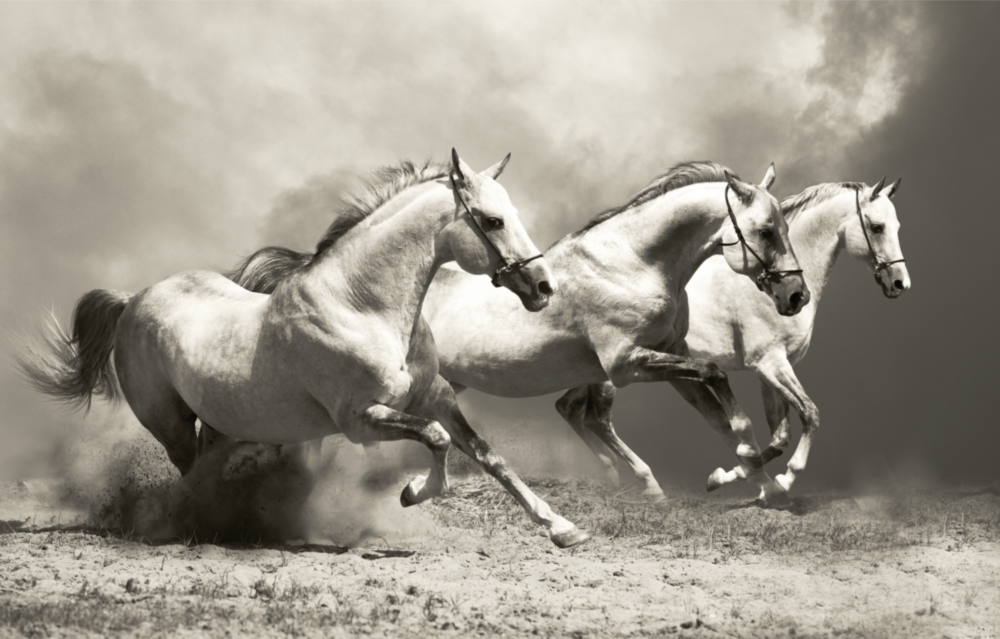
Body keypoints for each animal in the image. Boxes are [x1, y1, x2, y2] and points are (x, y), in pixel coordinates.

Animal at [17, 150, 593, 548]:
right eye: (492, 220)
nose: (543, 287)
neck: (362, 307)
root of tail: (133, 299)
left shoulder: (437, 398)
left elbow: (488, 455)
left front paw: (562, 528)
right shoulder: (360, 419)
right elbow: (436, 440)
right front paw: (412, 493)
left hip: (222, 422)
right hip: (170, 423)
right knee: (190, 472)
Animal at [225, 161, 811, 502]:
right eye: (765, 230)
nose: (796, 295)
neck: (634, 262)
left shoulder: (663, 357)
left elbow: (728, 411)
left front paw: (750, 477)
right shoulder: (627, 363)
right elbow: (719, 384)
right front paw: (749, 472)